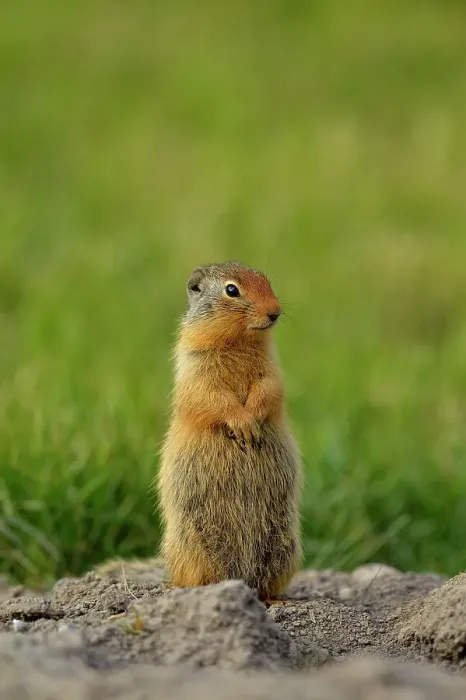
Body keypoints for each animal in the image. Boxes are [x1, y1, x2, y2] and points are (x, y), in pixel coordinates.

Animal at [157, 262, 302, 605]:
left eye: (267, 282)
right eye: (232, 289)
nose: (275, 312)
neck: (239, 341)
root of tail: (241, 578)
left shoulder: (271, 367)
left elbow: (269, 388)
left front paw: (254, 420)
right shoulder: (195, 367)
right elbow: (211, 396)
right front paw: (243, 424)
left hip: (285, 545)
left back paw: (274, 600)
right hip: (190, 544)